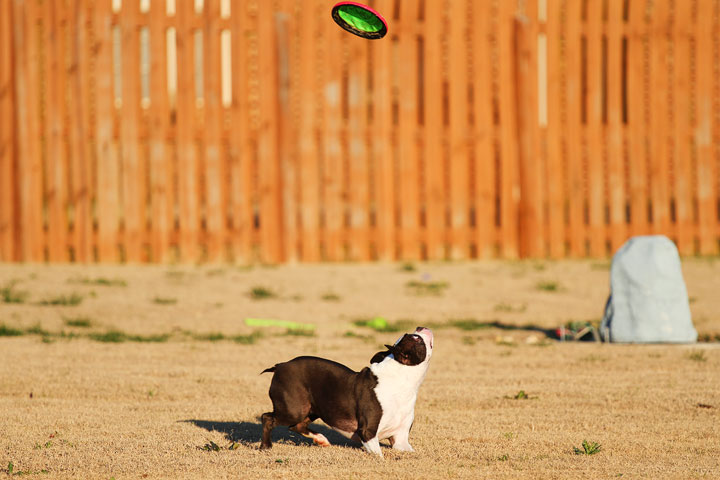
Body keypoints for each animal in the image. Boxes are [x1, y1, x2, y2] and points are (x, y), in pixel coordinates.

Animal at [262, 326, 436, 458]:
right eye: (416, 338)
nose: (420, 327)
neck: (401, 379)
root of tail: (280, 366)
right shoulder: (367, 432)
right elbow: (378, 454)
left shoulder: (400, 439)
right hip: (294, 409)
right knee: (267, 418)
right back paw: (266, 446)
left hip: (311, 409)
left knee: (295, 426)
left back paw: (321, 439)